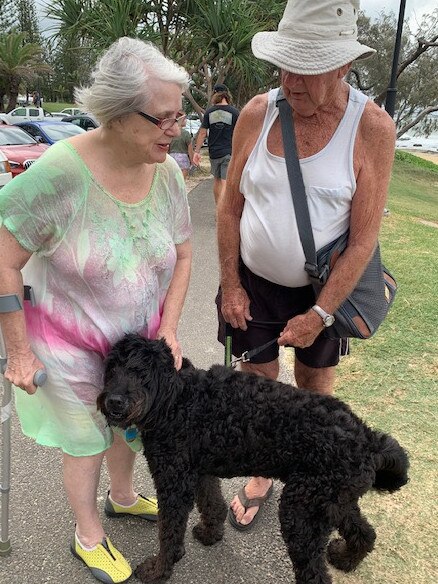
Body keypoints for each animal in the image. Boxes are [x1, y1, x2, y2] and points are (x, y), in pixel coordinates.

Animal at [97, 334, 408, 584]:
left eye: (141, 371)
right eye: (111, 368)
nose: (114, 401)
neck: (178, 398)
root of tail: (367, 438)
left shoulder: (174, 482)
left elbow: (169, 534)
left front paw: (158, 570)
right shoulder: (199, 471)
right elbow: (212, 504)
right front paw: (211, 534)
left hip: (302, 513)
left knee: (315, 573)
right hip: (330, 501)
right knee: (365, 532)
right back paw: (345, 558)